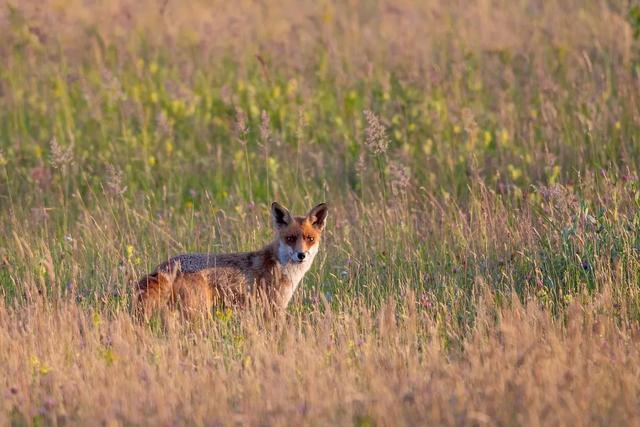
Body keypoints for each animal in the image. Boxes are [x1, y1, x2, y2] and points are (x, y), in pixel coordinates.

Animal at [133, 202, 328, 320]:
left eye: (310, 238)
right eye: (290, 238)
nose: (301, 255)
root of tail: (168, 264)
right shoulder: (272, 309)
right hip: (197, 314)